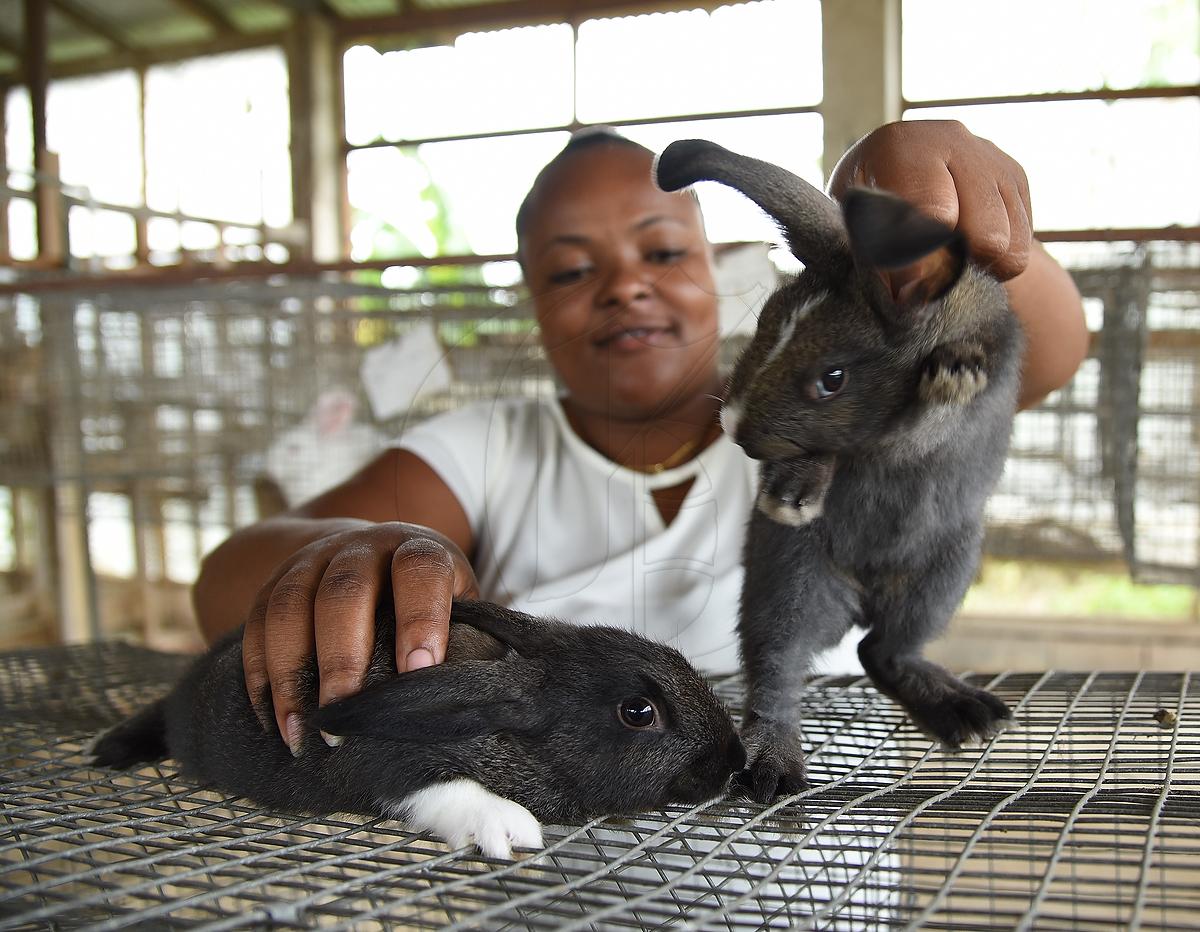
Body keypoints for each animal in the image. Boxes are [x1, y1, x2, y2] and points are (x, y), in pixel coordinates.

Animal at [92, 599, 746, 859]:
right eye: (639, 712)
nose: (734, 761)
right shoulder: (388, 759)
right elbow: (442, 787)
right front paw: (507, 828)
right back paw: (111, 749)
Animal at [655, 140, 1023, 802]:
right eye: (766, 320)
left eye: (833, 378)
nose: (735, 428)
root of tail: (859, 596)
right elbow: (836, 451)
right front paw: (791, 493)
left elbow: (936, 415)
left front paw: (952, 378)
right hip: (791, 588)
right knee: (778, 675)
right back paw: (772, 765)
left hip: (941, 577)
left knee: (885, 652)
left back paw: (965, 712)